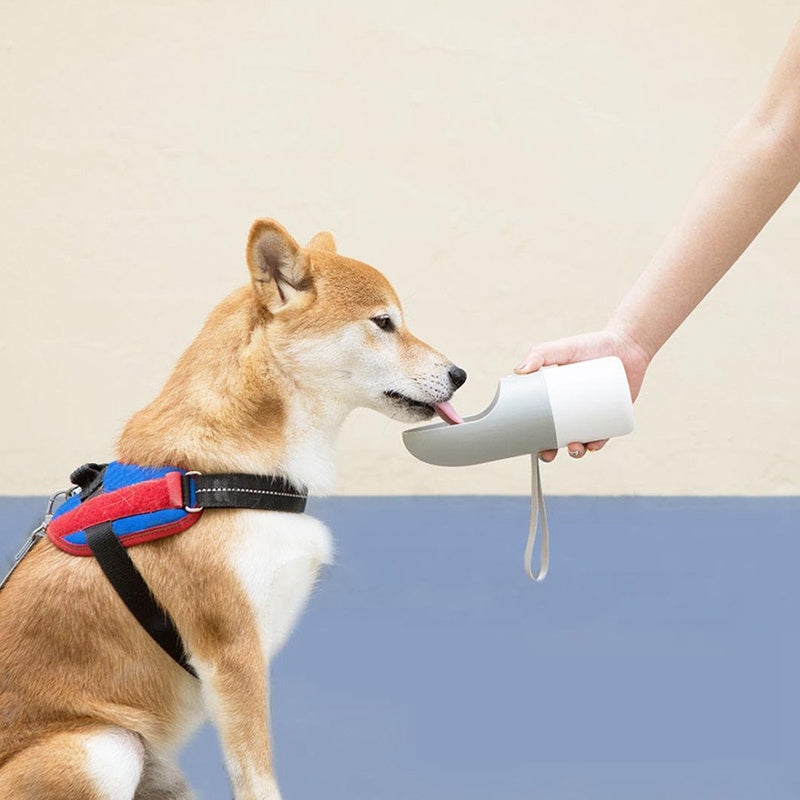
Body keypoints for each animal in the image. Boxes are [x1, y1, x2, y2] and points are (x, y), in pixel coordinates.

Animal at [0, 216, 466, 796]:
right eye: (384, 323)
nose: (460, 375)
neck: (211, 477)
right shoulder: (232, 654)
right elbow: (257, 777)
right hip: (104, 747)